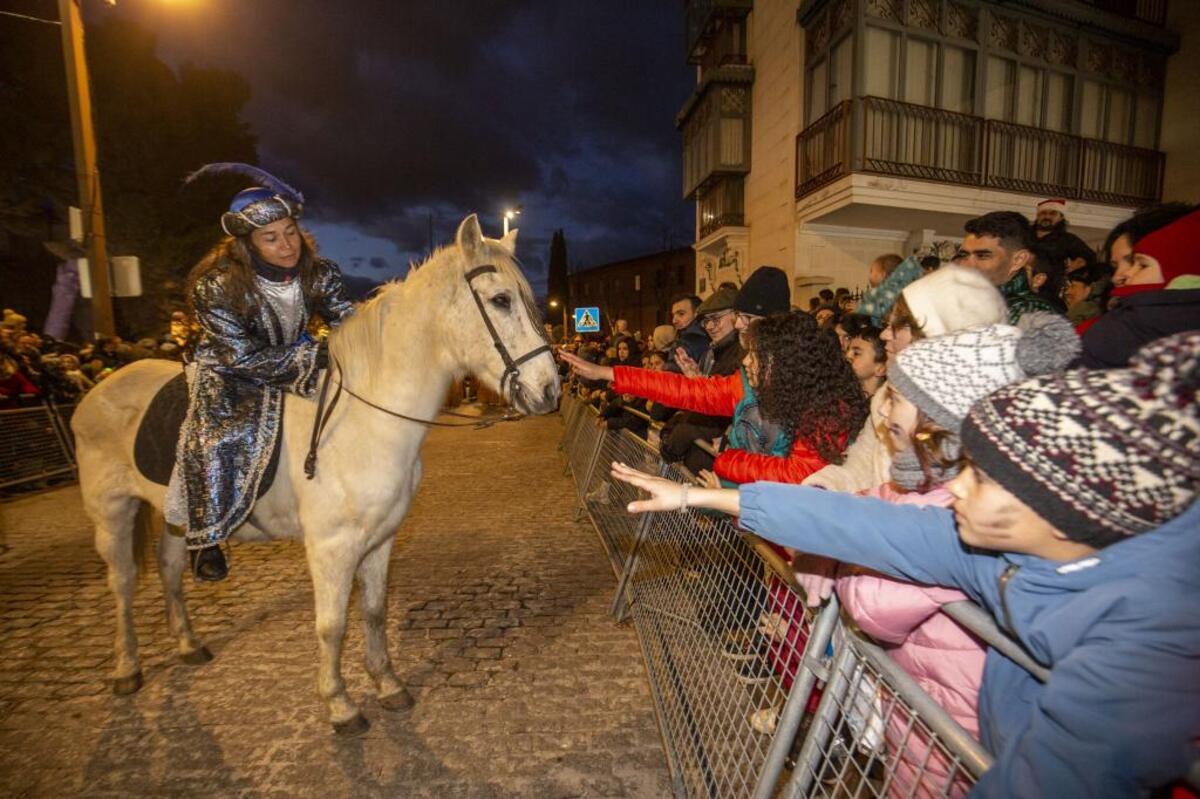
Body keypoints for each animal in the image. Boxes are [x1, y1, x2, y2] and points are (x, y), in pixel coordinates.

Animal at [72, 214, 559, 729]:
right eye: (500, 300)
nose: (549, 390)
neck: (364, 420)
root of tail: (100, 389)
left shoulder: (380, 539)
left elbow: (373, 611)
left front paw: (387, 683)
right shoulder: (331, 547)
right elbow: (332, 625)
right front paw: (339, 703)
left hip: (174, 513)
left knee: (167, 568)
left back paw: (187, 644)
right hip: (111, 511)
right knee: (122, 582)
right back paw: (127, 668)